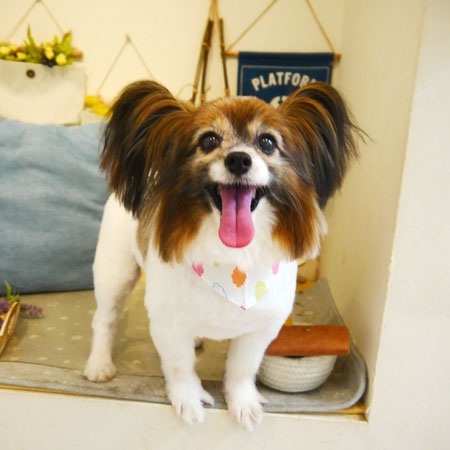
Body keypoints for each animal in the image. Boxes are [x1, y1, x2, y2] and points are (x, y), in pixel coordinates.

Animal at [84, 80, 358, 430]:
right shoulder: (167, 323)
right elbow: (180, 366)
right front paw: (188, 400)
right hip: (115, 271)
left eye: (267, 142)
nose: (239, 160)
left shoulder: (261, 328)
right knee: (104, 319)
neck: (232, 261)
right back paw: (99, 364)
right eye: (209, 140)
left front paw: (243, 403)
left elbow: (242, 369)